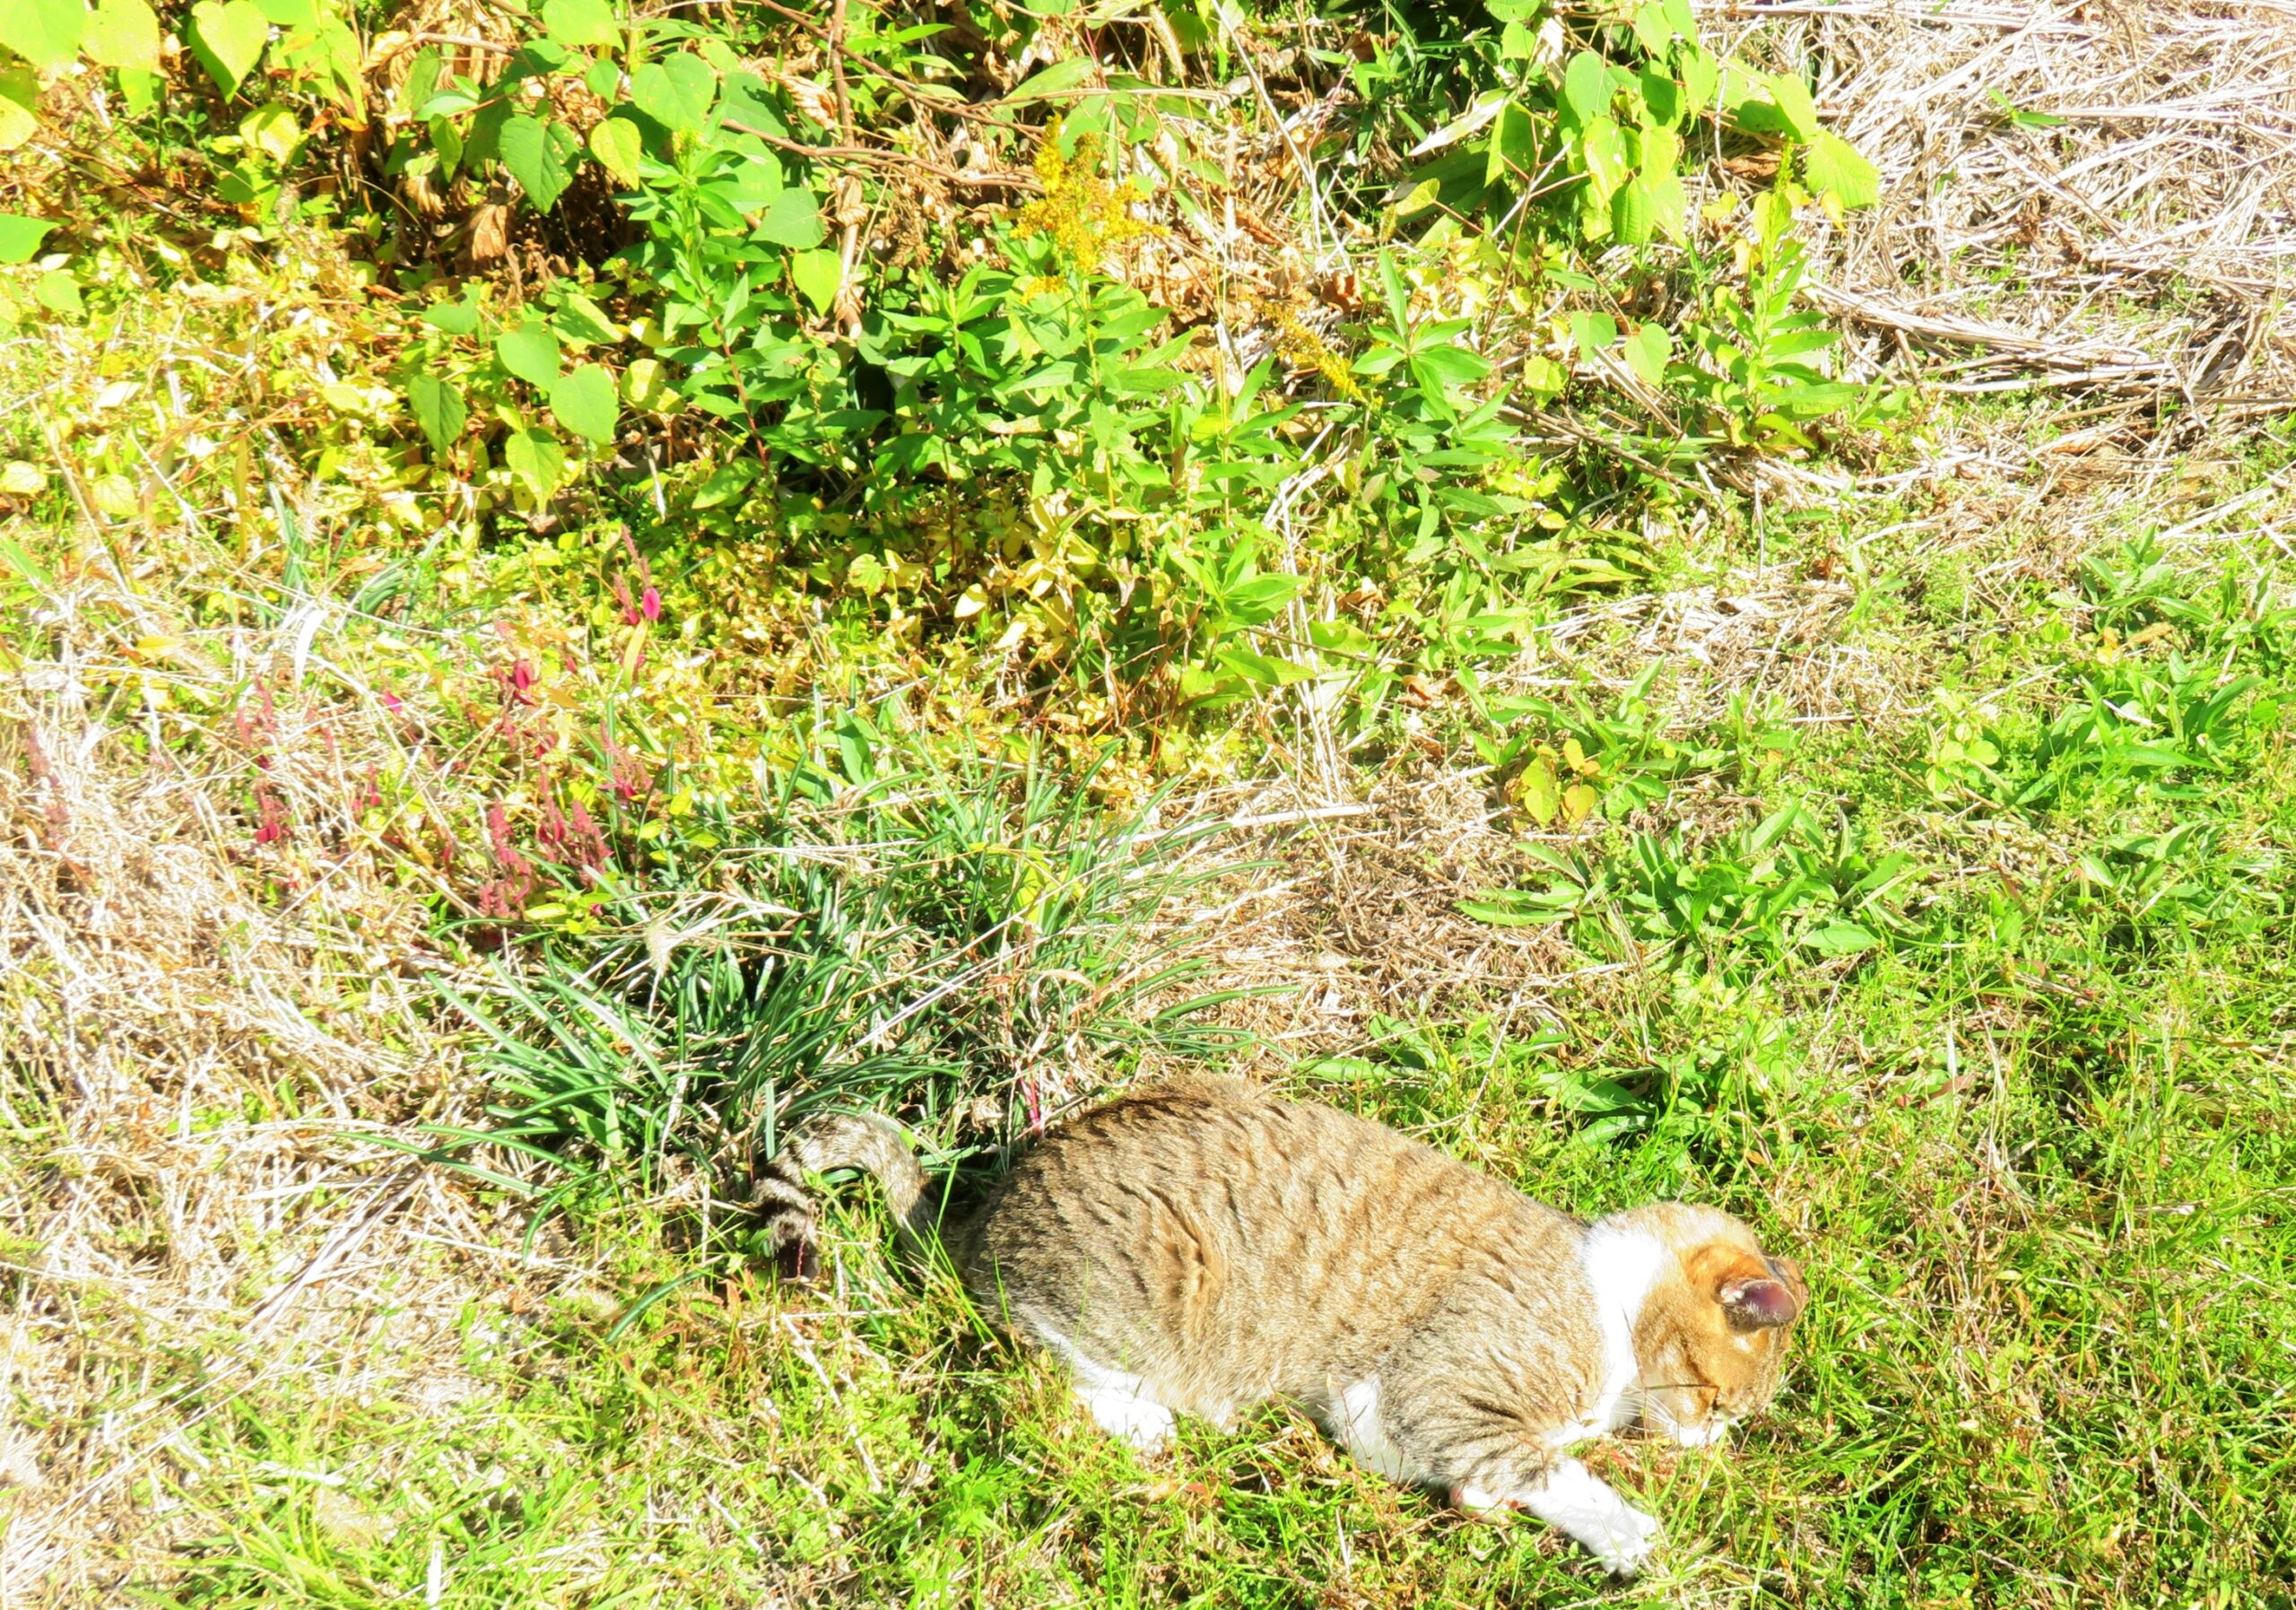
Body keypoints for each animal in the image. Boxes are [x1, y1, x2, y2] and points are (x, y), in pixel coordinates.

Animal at [761, 1075, 1800, 1580]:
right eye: (1721, 1402)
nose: (1710, 1443)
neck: (1605, 1297)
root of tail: (979, 1211)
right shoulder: (1437, 1395)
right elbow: (1545, 1466)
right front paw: (1626, 1531)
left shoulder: (1399, 1421)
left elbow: (1506, 1469)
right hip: (1147, 1294)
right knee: (1033, 1361)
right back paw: (1146, 1417)